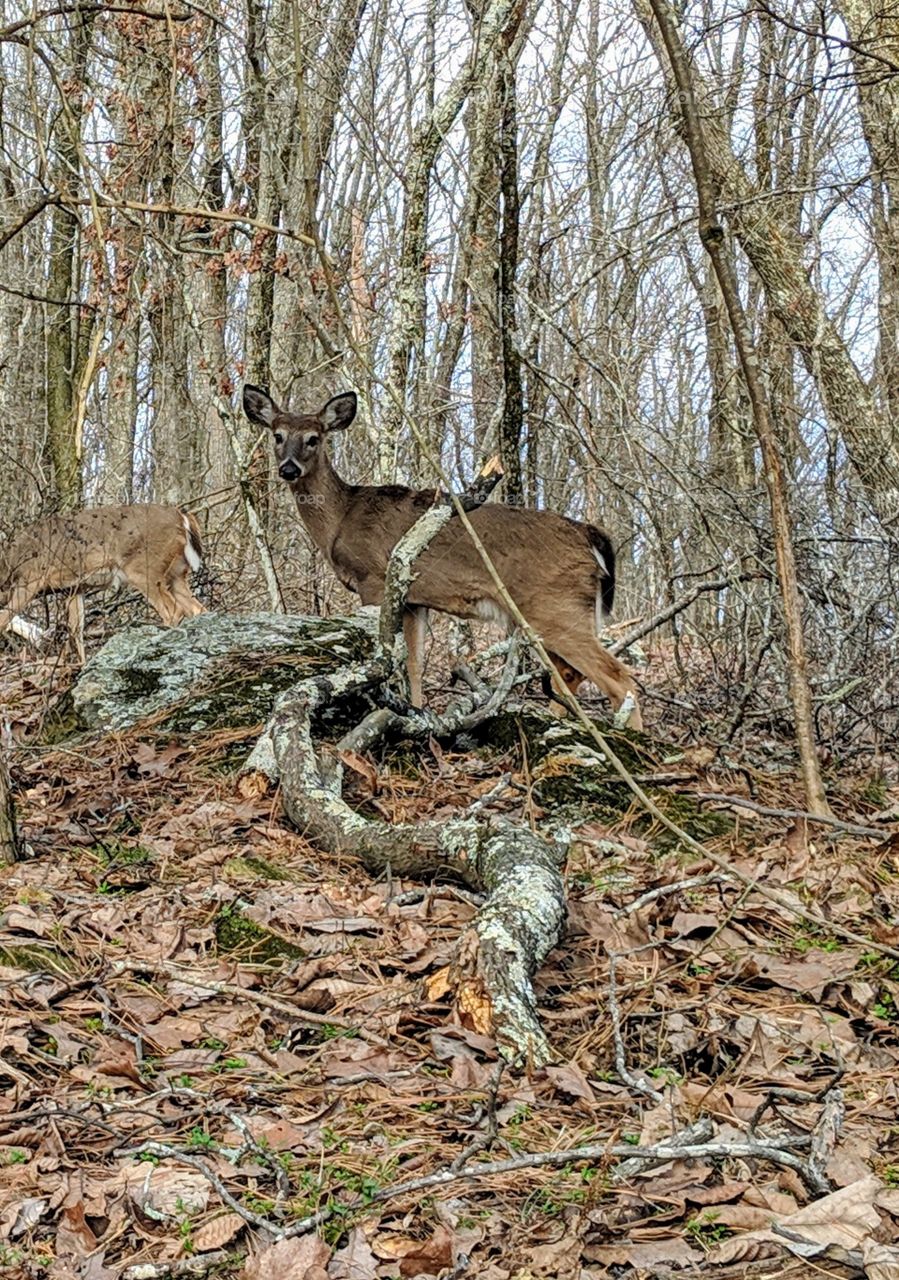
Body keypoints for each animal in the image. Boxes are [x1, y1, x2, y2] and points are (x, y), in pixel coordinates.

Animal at [0, 504, 206, 663]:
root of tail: (183, 517)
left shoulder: (30, 579)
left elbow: (3, 619)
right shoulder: (72, 588)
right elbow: (76, 628)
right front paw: (81, 665)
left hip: (144, 569)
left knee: (173, 610)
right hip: (176, 574)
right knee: (197, 608)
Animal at [243, 385, 642, 729]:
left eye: (314, 438)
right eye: (277, 435)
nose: (289, 468)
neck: (342, 518)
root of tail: (589, 535)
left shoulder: (374, 579)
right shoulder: (414, 600)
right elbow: (415, 664)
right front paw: (417, 713)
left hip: (556, 607)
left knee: (618, 677)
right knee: (571, 676)